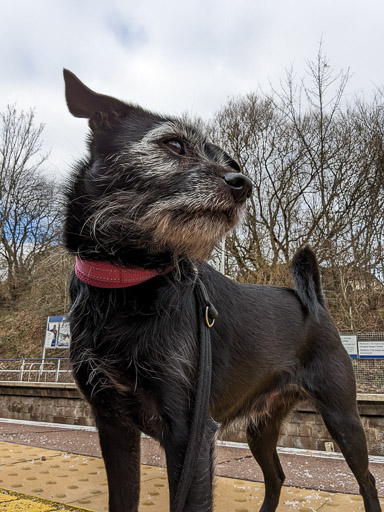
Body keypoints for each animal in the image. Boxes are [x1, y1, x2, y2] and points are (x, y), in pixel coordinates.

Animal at [63, 69, 380, 512]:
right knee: (277, 476)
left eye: (231, 163)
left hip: (342, 416)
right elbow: (122, 499)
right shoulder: (113, 425)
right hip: (261, 426)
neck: (130, 280)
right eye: (174, 144)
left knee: (367, 479)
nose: (243, 183)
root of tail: (315, 304)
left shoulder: (190, 433)